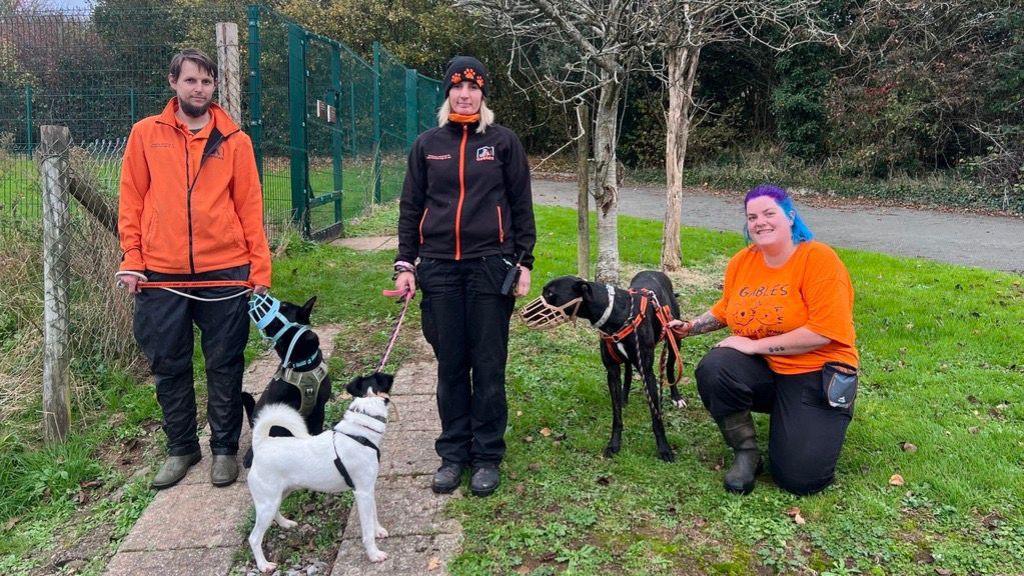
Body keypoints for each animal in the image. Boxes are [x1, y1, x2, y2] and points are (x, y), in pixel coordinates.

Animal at [245, 373, 393, 569]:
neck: (360, 432)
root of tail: (261, 444)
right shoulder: (362, 492)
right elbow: (367, 529)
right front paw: (374, 554)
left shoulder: (369, 489)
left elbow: (374, 515)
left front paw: (379, 531)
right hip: (267, 502)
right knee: (254, 538)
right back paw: (263, 565)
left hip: (278, 495)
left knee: (275, 513)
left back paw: (286, 524)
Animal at [524, 270, 684, 461]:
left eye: (549, 293)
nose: (524, 313)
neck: (616, 313)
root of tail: (655, 272)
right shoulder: (612, 371)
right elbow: (616, 415)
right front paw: (614, 444)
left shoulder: (647, 373)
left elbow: (656, 417)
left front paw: (664, 449)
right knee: (628, 371)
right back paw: (624, 397)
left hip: (675, 339)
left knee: (670, 368)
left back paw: (676, 397)